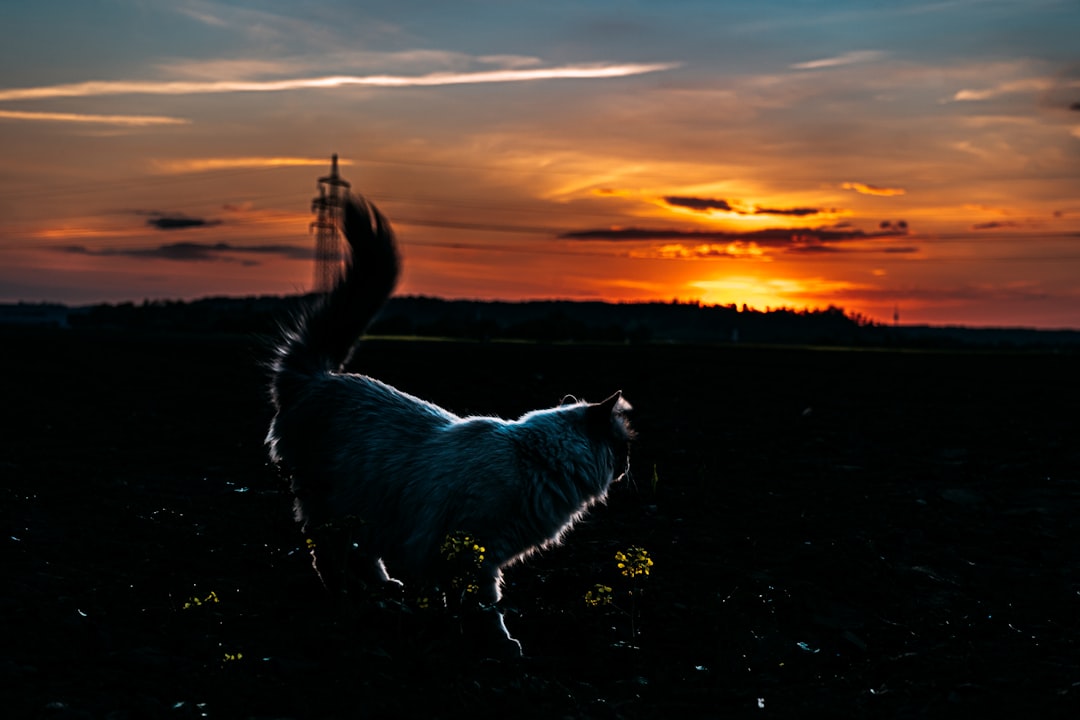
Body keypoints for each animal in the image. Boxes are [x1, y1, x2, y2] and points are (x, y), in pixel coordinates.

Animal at [265, 194, 630, 656]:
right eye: (623, 449)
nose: (628, 467)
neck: (534, 463)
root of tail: (319, 376)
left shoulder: (462, 552)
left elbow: (455, 599)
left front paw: (452, 630)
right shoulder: (471, 550)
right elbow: (484, 604)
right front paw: (499, 645)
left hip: (367, 507)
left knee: (359, 552)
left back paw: (384, 589)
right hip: (331, 504)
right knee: (327, 554)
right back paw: (350, 599)